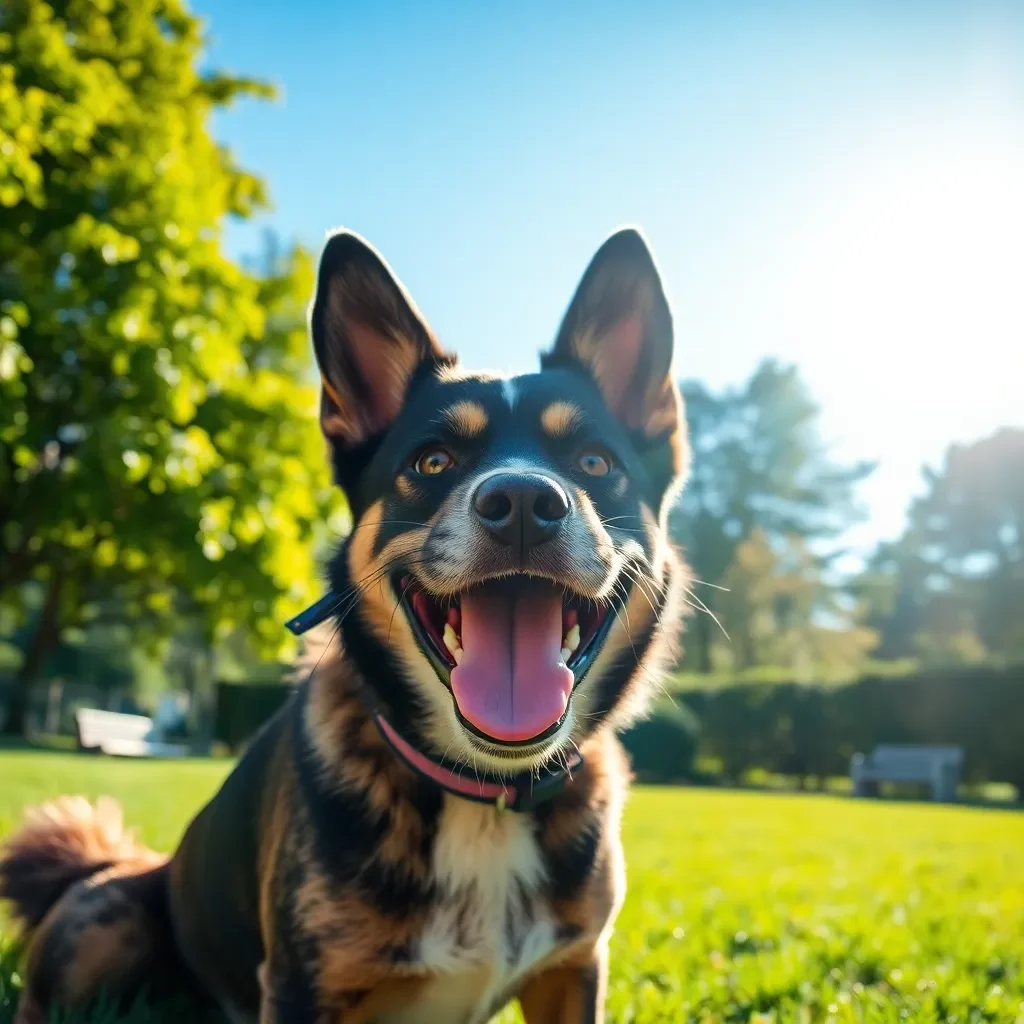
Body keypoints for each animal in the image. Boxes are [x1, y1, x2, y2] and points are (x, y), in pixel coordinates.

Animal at [2, 226, 688, 1024]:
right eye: (432, 461)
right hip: (104, 922)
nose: (522, 501)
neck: (481, 793)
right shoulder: (303, 985)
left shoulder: (573, 971)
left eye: (595, 462)